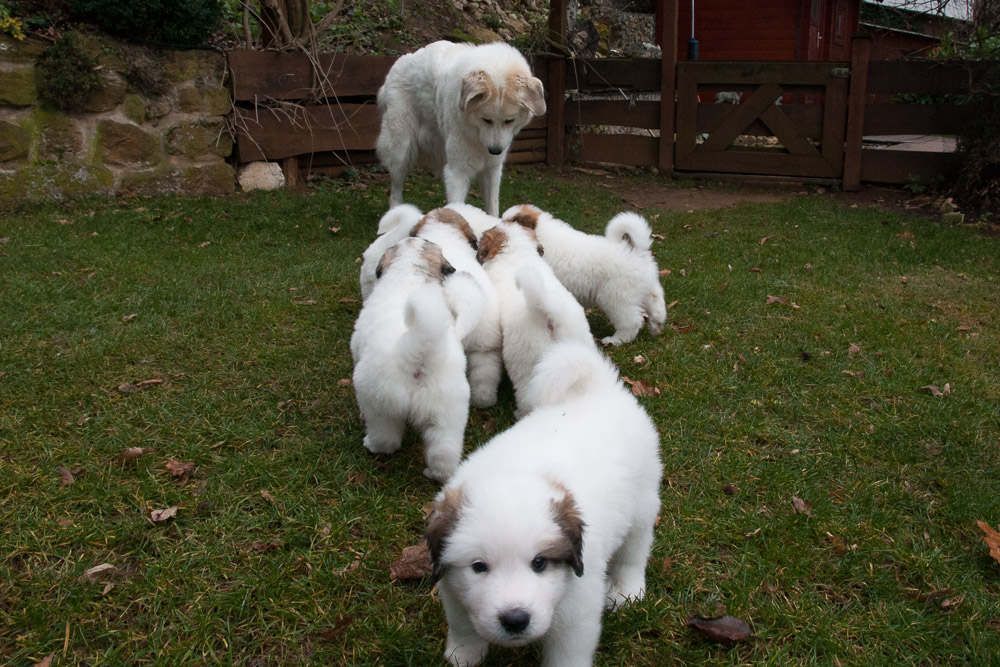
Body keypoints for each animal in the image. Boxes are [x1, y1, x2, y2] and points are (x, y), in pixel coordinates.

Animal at [350, 237, 482, 482]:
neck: (410, 268)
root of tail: (419, 354)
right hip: (448, 413)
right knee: (443, 454)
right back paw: (436, 474)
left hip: (379, 403)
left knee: (386, 439)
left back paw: (371, 444)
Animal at [376, 40, 548, 217]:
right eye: (486, 120)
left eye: (509, 121)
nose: (495, 151)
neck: (475, 131)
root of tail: (399, 62)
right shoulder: (457, 171)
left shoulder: (492, 169)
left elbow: (492, 207)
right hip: (400, 149)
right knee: (396, 188)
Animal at [424, 342, 664, 664]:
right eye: (479, 566)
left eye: (539, 563)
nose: (515, 620)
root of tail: (597, 388)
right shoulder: (455, 590)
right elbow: (463, 627)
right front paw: (463, 656)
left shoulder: (577, 611)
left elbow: (566, 654)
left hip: (642, 505)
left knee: (633, 552)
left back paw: (627, 591)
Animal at [500, 205, 672, 348]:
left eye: (508, 222)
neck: (542, 232)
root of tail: (637, 251)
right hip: (645, 288)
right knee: (657, 304)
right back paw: (656, 327)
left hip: (616, 297)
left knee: (631, 321)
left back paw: (615, 340)